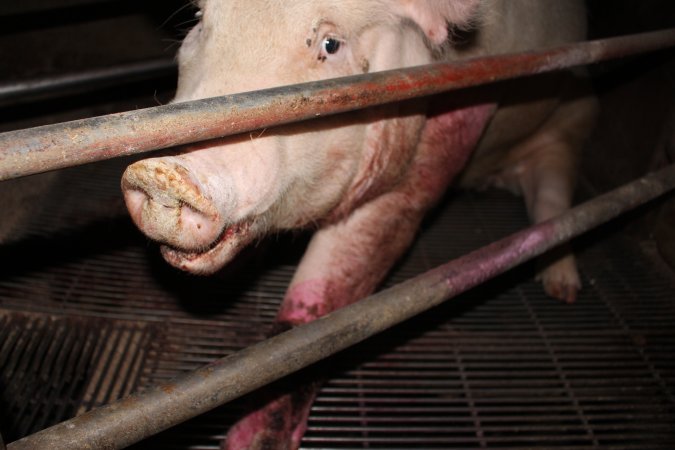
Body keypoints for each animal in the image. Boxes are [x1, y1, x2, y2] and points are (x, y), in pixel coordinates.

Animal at [120, 0, 596, 448]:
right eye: (201, 21)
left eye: (331, 44)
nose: (164, 172)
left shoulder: (448, 128)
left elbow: (319, 304)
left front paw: (249, 443)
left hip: (570, 123)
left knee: (553, 199)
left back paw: (564, 290)